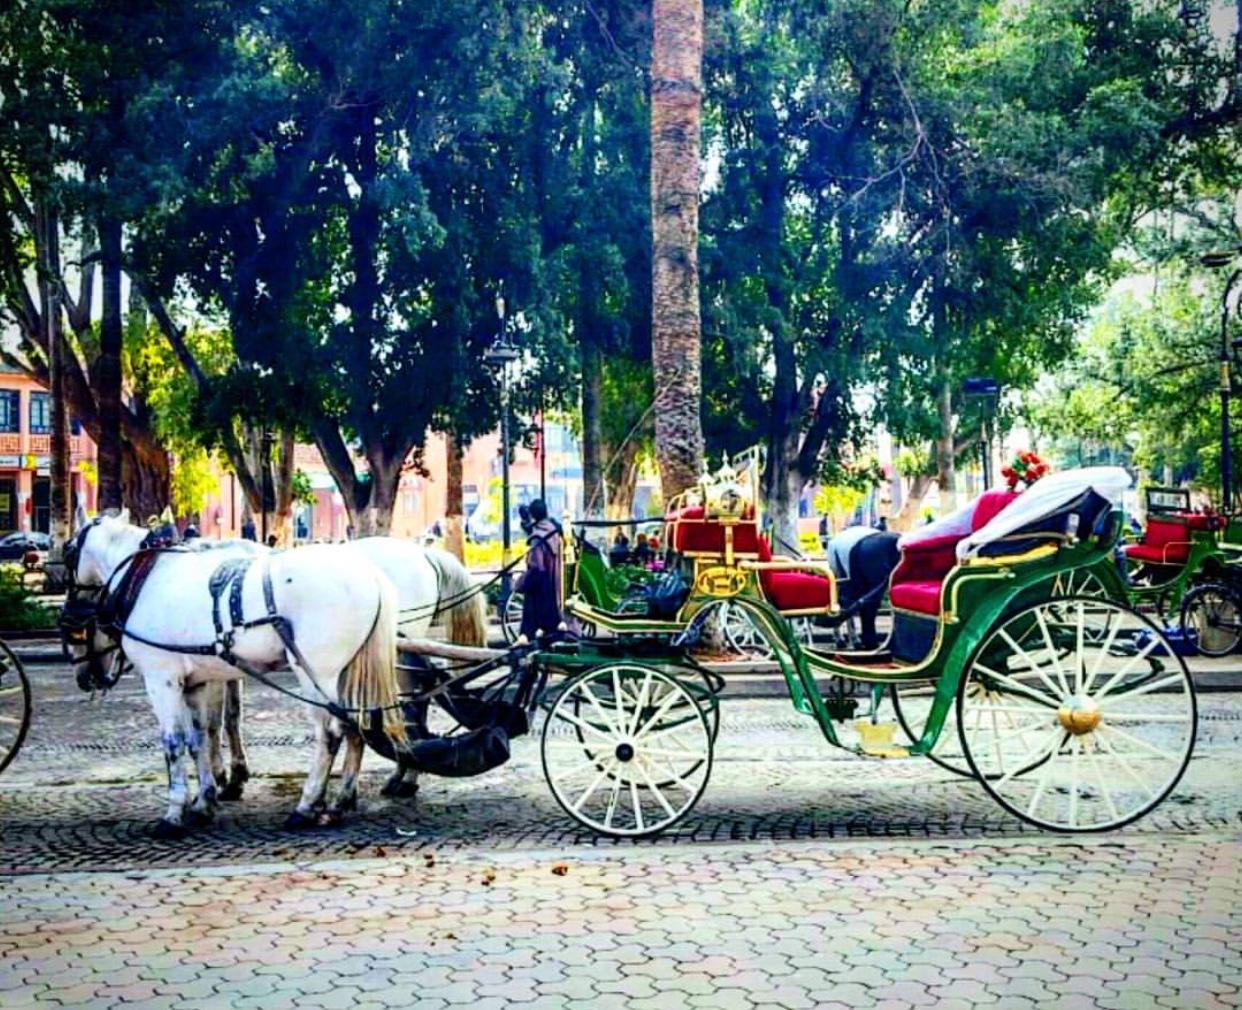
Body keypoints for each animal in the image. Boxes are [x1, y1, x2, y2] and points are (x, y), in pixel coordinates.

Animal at [65, 511, 404, 834]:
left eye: (69, 552)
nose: (69, 609)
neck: (144, 580)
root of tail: (370, 574)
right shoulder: (195, 684)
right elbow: (198, 739)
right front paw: (204, 801)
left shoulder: (162, 680)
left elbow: (174, 743)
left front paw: (175, 812)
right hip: (347, 672)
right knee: (355, 726)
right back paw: (340, 800)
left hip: (316, 673)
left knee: (330, 734)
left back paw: (306, 805)